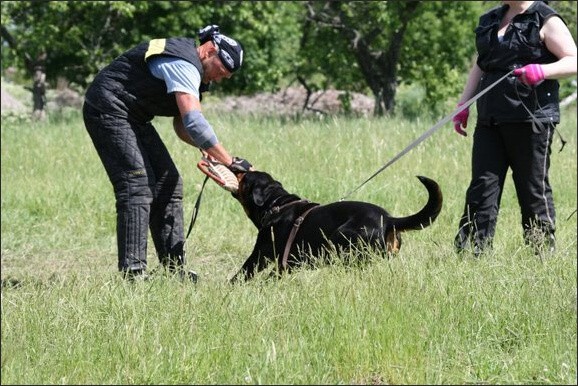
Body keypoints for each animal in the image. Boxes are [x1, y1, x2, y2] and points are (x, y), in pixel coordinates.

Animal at [230, 170, 440, 282]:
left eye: (244, 177)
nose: (237, 163)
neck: (276, 204)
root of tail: (389, 219)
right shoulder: (289, 262)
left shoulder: (261, 255)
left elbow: (243, 274)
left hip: (341, 239)